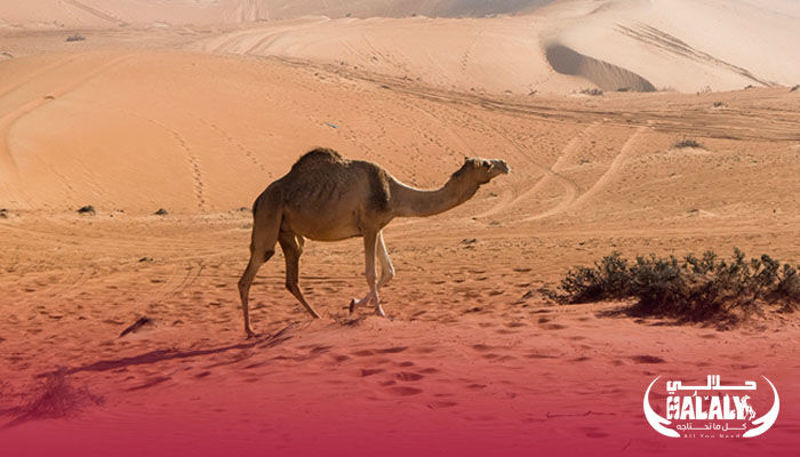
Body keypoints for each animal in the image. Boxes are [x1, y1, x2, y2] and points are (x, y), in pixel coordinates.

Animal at [237, 148, 509, 337]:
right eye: (486, 163)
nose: (505, 164)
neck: (393, 193)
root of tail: (257, 200)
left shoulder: (377, 227)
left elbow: (389, 270)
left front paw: (354, 305)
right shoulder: (369, 226)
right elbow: (371, 272)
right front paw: (379, 312)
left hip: (287, 232)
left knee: (291, 277)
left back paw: (316, 316)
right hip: (269, 216)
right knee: (250, 273)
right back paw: (250, 331)